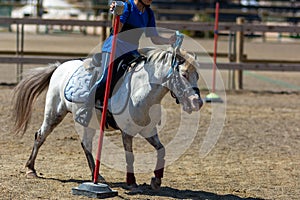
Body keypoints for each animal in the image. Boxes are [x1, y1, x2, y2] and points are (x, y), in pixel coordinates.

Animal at [12, 46, 204, 191]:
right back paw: (30, 169)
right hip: (54, 113)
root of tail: (60, 66)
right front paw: (131, 182)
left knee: (85, 145)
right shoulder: (127, 132)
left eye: (197, 75)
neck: (141, 91)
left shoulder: (148, 131)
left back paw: (96, 175)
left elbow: (161, 150)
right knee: (41, 136)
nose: (198, 102)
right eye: (184, 74)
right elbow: (130, 156)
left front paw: (156, 180)